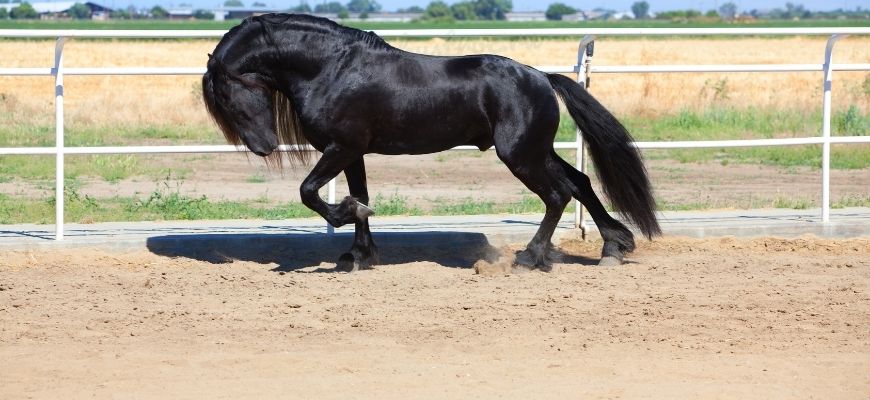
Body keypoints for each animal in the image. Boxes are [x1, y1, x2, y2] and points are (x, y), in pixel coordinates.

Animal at [201, 14, 656, 272]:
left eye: (228, 95)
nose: (264, 147)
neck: (331, 69)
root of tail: (542, 77)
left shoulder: (341, 148)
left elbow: (310, 192)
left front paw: (345, 219)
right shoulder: (353, 151)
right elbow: (361, 196)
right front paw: (358, 255)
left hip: (520, 156)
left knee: (558, 194)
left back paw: (530, 258)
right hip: (536, 151)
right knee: (579, 183)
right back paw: (613, 247)